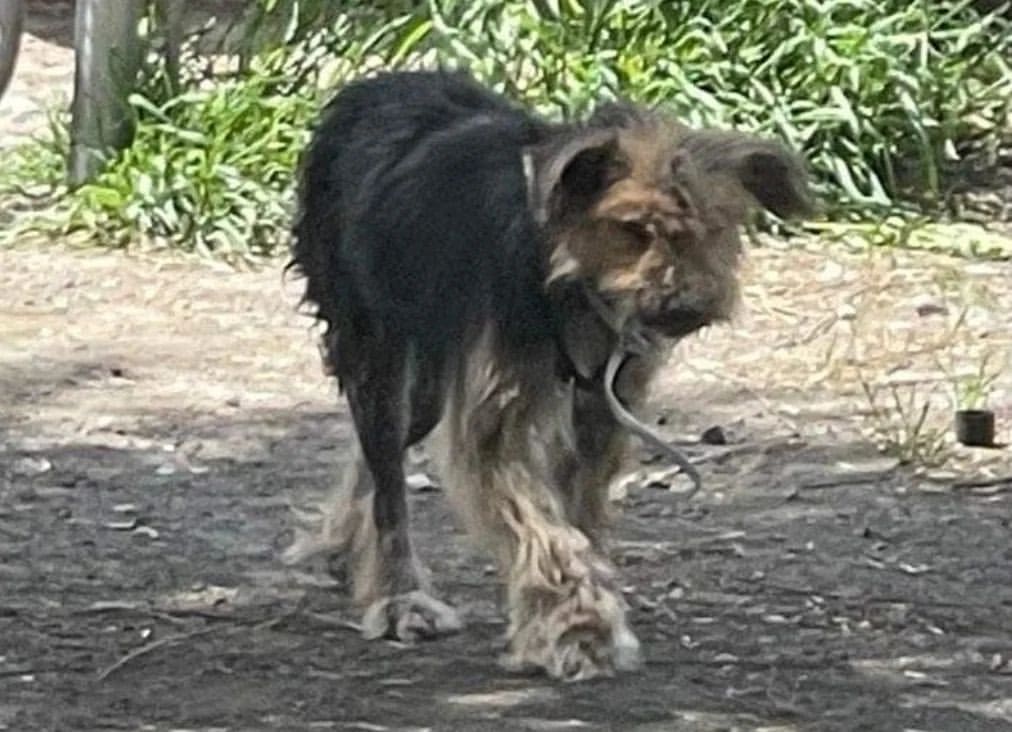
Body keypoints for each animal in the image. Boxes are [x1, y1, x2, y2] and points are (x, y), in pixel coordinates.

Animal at [279, 68, 813, 680]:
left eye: (716, 227)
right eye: (633, 228)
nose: (687, 308)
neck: (564, 277)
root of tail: (375, 85)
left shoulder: (602, 409)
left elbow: (577, 519)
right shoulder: (494, 421)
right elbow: (546, 532)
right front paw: (581, 630)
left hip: (427, 387)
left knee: (372, 457)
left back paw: (343, 546)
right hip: (377, 352)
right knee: (388, 478)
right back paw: (399, 597)